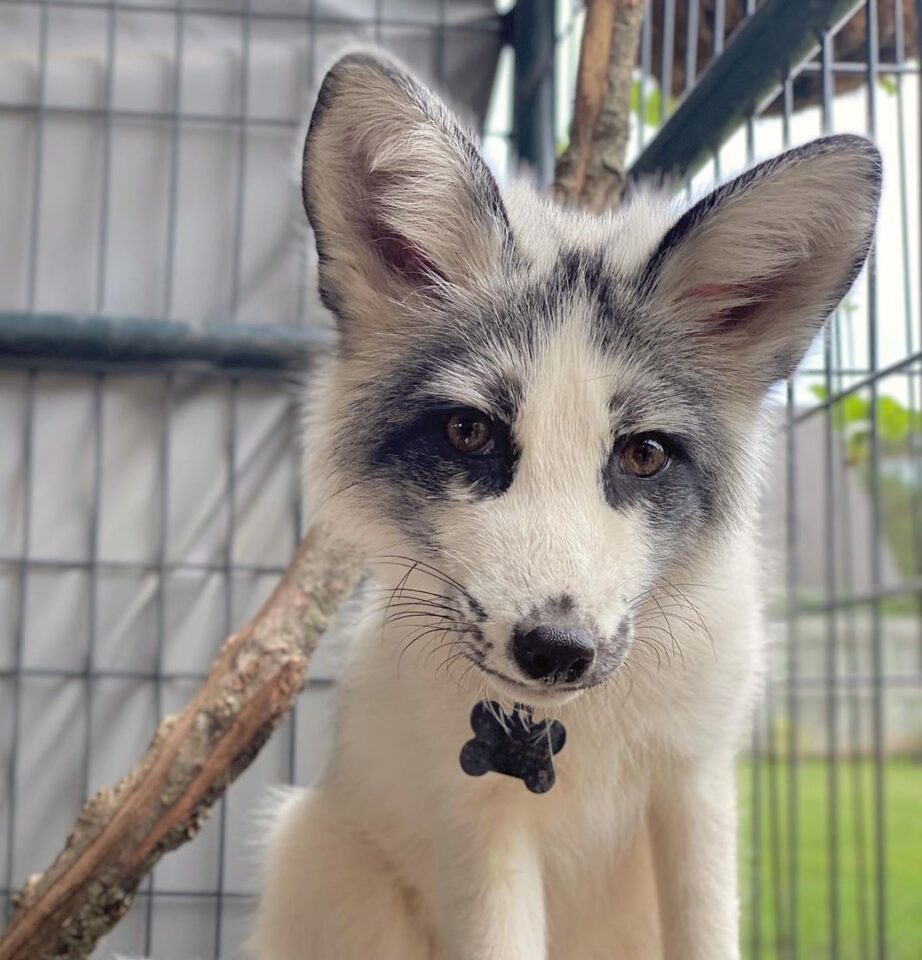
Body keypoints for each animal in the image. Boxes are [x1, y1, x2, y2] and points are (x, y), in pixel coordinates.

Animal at [251, 52, 881, 960]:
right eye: (470, 432)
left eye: (643, 454)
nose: (557, 649)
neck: (573, 734)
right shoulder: (481, 830)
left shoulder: (695, 785)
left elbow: (709, 935)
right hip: (323, 858)